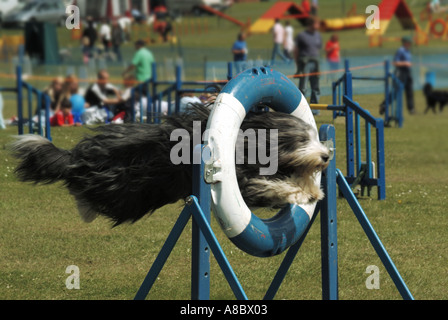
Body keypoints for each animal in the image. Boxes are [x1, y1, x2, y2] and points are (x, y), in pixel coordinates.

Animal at [8, 104, 330, 226]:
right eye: (300, 139)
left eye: (315, 137)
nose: (326, 156)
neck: (248, 140)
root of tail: (79, 156)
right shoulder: (241, 179)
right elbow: (268, 186)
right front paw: (302, 191)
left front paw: (312, 189)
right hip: (122, 185)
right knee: (84, 188)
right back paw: (84, 206)